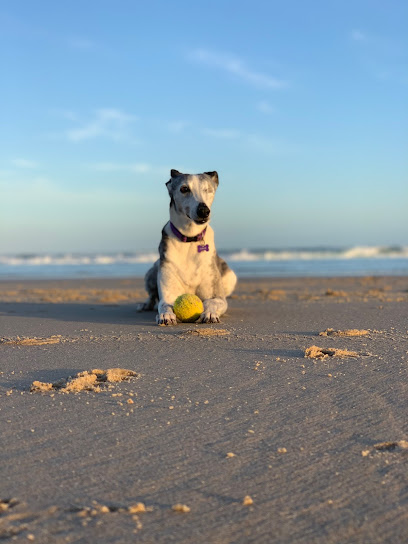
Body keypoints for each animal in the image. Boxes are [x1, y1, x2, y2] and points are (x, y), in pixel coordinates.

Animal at [139, 168, 237, 326]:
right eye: (184, 189)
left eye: (207, 189)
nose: (203, 211)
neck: (189, 239)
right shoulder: (168, 293)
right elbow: (164, 304)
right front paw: (166, 315)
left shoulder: (218, 297)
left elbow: (212, 302)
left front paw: (209, 313)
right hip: (152, 271)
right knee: (152, 296)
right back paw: (145, 305)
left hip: (229, 276)